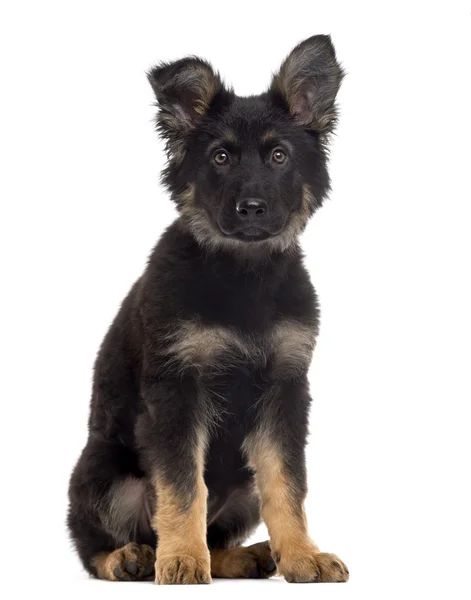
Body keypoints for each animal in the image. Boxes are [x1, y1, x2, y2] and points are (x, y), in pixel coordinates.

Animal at [66, 35, 348, 584]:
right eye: (220, 157)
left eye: (279, 156)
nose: (252, 208)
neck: (243, 276)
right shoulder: (177, 389)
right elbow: (181, 485)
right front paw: (180, 558)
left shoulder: (284, 390)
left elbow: (288, 483)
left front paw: (302, 555)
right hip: (102, 473)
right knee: (94, 544)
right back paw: (131, 557)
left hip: (243, 487)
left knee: (220, 533)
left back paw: (246, 556)